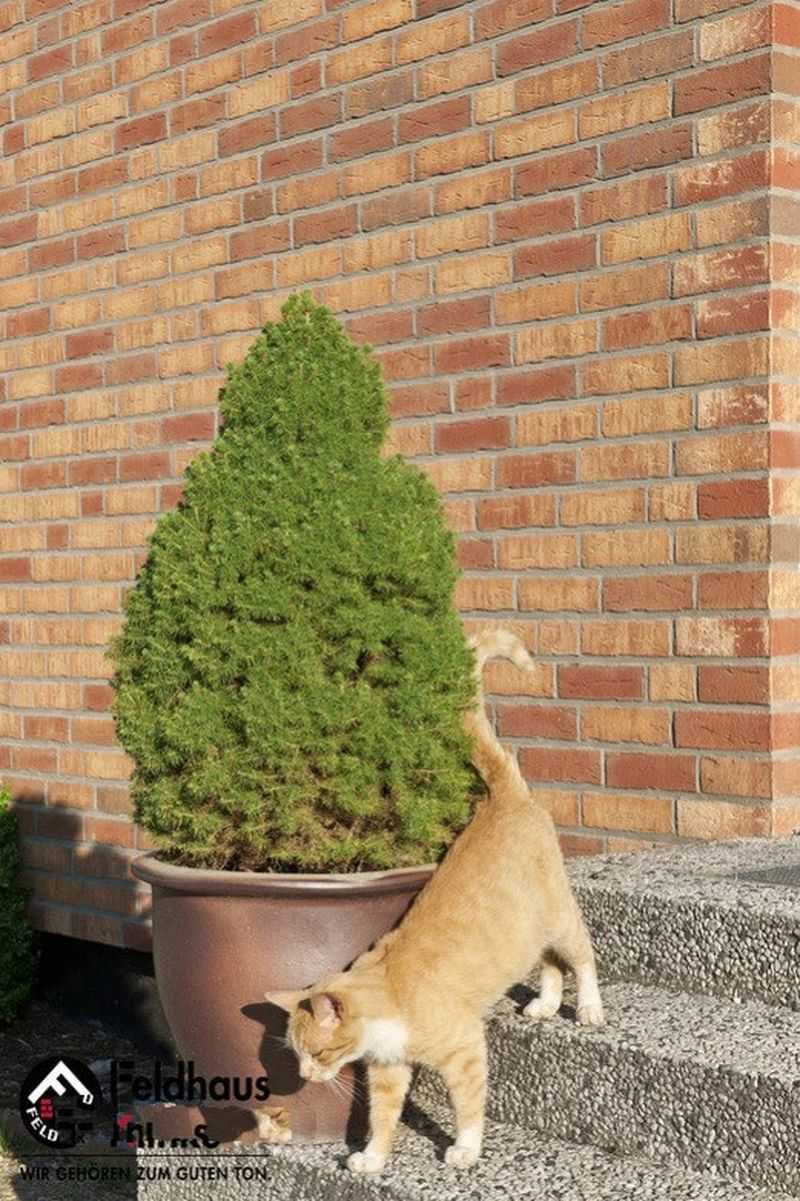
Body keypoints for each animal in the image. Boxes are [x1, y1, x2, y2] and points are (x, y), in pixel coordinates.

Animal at [265, 628, 604, 1173]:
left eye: (315, 1054)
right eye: (296, 1054)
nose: (305, 1078)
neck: (390, 999)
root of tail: (501, 798)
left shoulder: (464, 1050)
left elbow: (467, 1104)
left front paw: (465, 1148)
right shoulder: (388, 1071)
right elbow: (382, 1118)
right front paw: (372, 1157)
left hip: (557, 915)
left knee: (581, 955)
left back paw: (589, 1007)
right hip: (528, 934)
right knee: (551, 964)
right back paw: (547, 1004)